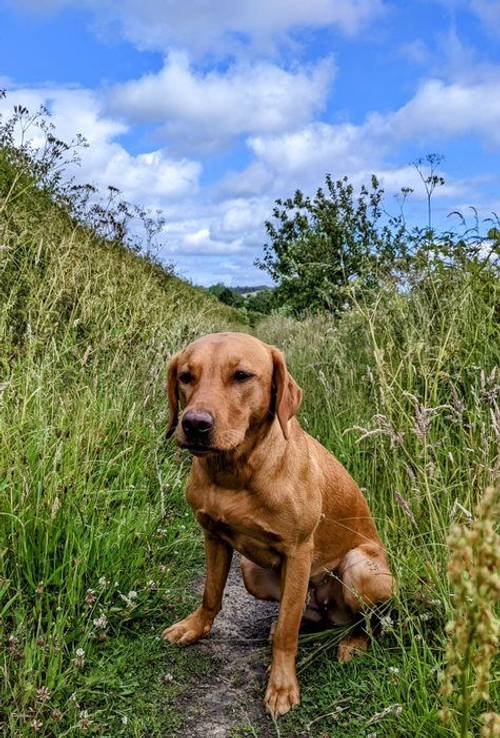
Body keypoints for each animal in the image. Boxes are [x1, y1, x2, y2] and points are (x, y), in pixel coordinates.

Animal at [162, 330, 392, 716]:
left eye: (241, 376)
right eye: (186, 376)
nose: (194, 424)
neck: (235, 473)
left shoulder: (298, 552)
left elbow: (287, 630)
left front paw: (282, 685)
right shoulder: (214, 536)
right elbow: (211, 594)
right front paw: (195, 627)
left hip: (360, 568)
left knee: (362, 620)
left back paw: (353, 643)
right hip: (251, 571)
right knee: (301, 613)